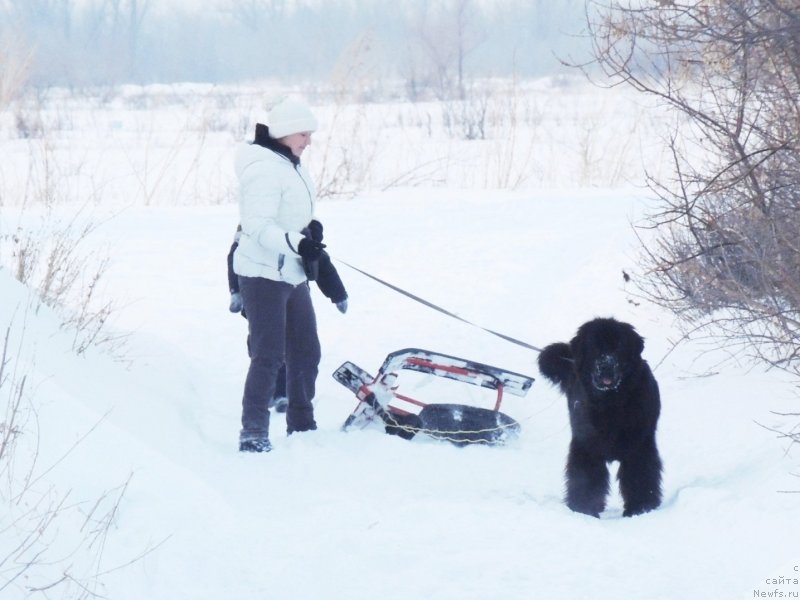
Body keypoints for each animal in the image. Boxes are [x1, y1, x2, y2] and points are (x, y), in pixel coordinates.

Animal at [536, 316, 664, 516]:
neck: (610, 403)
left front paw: (640, 508)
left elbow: (639, 476)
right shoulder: (586, 445)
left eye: (618, 347)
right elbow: (587, 478)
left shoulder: (639, 445)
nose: (606, 365)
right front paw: (584, 509)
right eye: (595, 347)